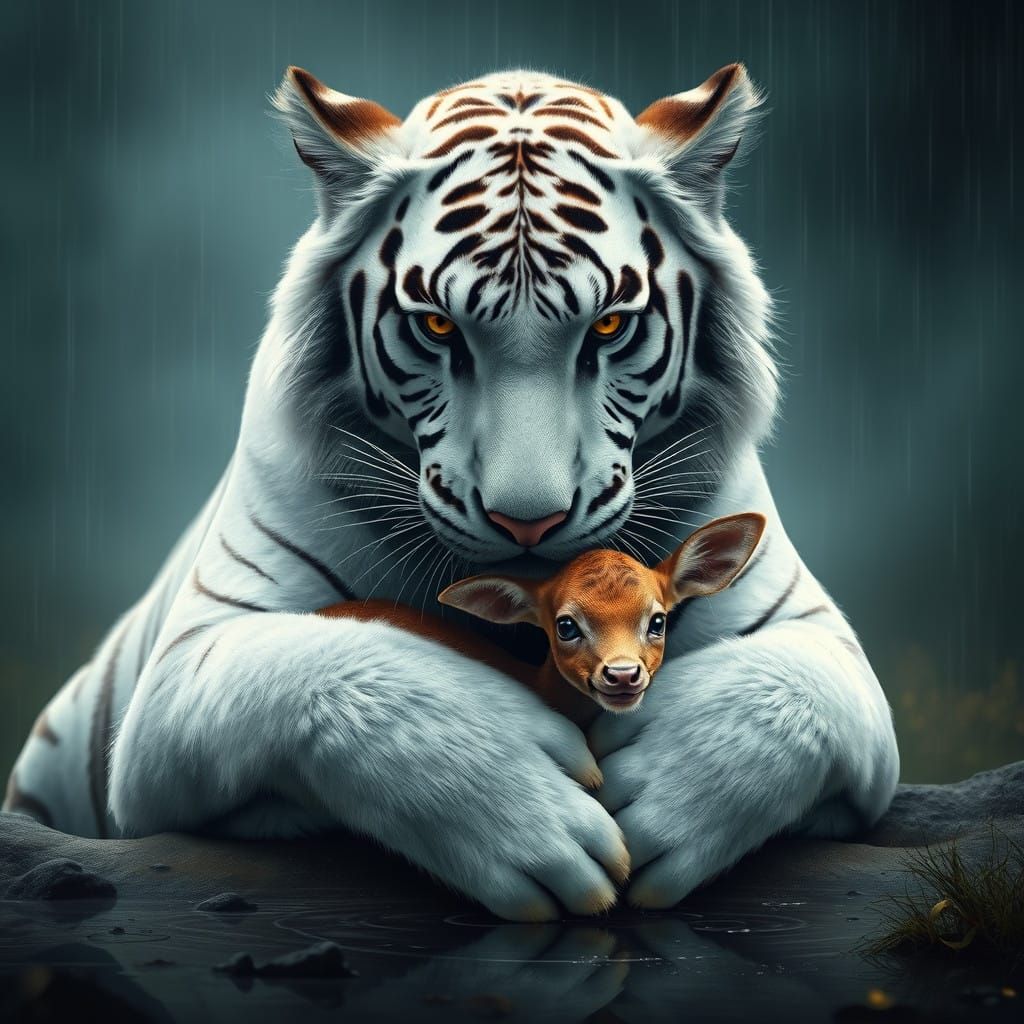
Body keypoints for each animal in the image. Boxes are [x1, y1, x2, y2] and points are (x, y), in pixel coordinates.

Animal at [4, 63, 899, 921]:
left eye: (610, 326)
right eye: (437, 326)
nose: (529, 523)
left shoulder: (820, 639)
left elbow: (790, 693)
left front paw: (659, 792)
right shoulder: (186, 667)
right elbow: (334, 664)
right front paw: (524, 803)